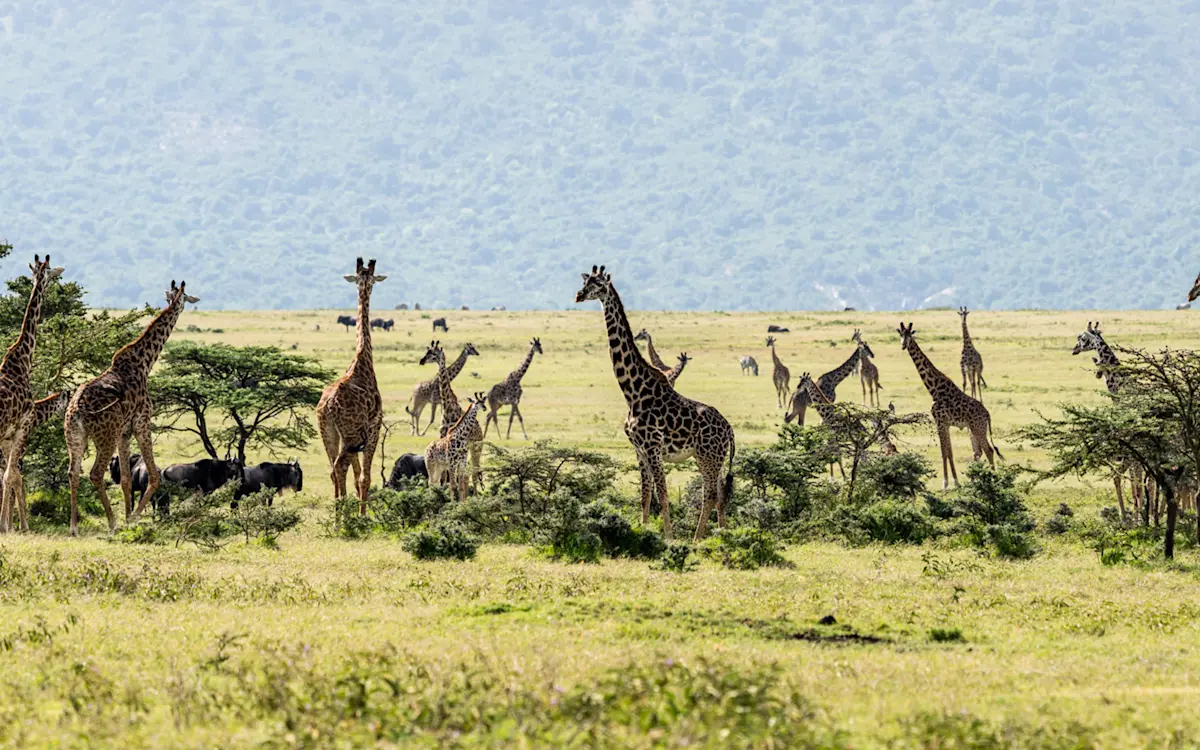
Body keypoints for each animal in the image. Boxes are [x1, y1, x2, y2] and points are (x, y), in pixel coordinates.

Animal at [65, 280, 200, 535]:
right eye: (185, 297)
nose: (190, 302)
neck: (145, 362)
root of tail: (76, 408)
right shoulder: (142, 422)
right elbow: (155, 475)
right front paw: (133, 518)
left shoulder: (124, 432)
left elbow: (127, 479)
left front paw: (128, 517)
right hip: (104, 436)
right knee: (95, 473)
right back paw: (112, 523)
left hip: (75, 436)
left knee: (73, 473)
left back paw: (74, 527)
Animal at [316, 258, 386, 514]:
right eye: (372, 281)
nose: (369, 288)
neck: (362, 359)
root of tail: (328, 407)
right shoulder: (373, 428)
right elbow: (365, 477)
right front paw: (363, 516)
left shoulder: (357, 437)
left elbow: (357, 477)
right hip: (350, 434)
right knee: (339, 467)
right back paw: (343, 517)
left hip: (328, 432)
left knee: (332, 469)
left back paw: (338, 514)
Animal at [419, 341, 483, 489]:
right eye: (427, 351)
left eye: (433, 353)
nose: (421, 361)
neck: (447, 407)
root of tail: (481, 431)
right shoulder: (443, 437)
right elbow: (444, 476)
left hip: (476, 448)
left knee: (475, 473)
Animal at [576, 266, 735, 540]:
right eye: (586, 282)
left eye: (599, 284)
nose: (579, 295)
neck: (633, 392)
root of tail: (730, 430)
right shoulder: (639, 450)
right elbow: (645, 496)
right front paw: (644, 531)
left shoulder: (653, 447)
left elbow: (663, 495)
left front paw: (669, 538)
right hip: (715, 457)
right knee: (720, 495)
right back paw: (722, 535)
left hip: (707, 456)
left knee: (710, 495)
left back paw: (696, 539)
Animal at [898, 322, 1001, 489]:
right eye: (901, 334)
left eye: (909, 335)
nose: (903, 345)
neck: (933, 389)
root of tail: (987, 414)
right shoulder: (945, 423)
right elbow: (949, 452)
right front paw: (955, 482)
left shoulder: (939, 421)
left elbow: (943, 452)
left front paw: (946, 483)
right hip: (973, 429)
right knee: (979, 451)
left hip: (977, 428)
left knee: (989, 450)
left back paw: (994, 480)